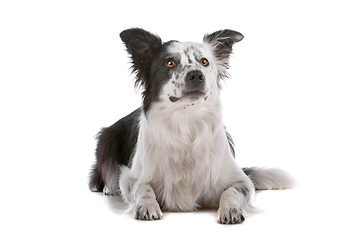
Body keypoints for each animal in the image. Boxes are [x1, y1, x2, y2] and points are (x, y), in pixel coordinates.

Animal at [88, 28, 294, 223]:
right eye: (170, 63)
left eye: (204, 62)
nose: (196, 75)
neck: (186, 121)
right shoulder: (131, 176)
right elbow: (142, 187)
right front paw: (147, 206)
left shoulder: (240, 180)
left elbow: (232, 191)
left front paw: (230, 209)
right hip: (106, 138)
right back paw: (109, 188)